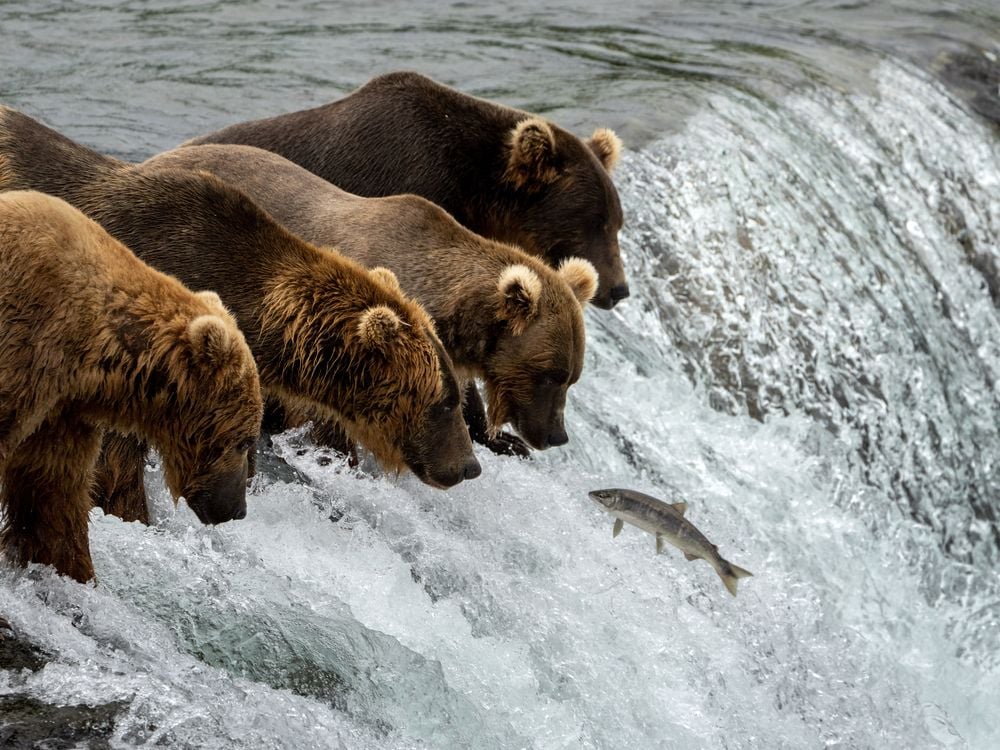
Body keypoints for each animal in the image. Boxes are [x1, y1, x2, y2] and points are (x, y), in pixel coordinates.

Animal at [0, 191, 266, 584]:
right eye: (244, 440)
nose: (238, 509)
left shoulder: (60, 411)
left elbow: (52, 491)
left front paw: (72, 573)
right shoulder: (27, 346)